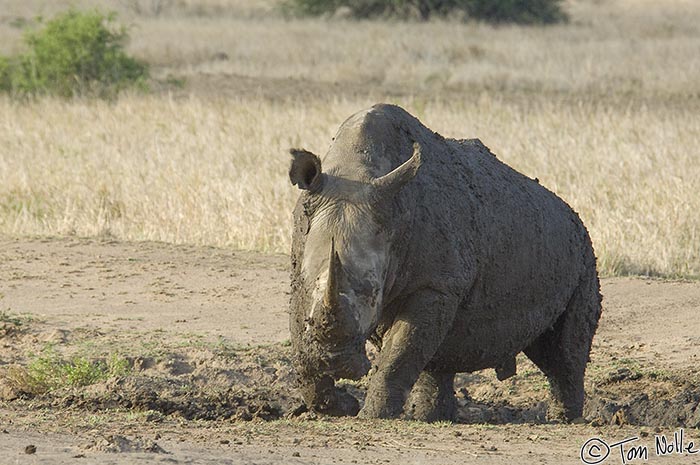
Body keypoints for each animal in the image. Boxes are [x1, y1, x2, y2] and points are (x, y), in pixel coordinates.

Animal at [288, 103, 600, 422]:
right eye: (307, 283)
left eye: (371, 293)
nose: (334, 362)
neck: (356, 170)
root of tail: (573, 215)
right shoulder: (301, 264)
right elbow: (301, 337)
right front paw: (339, 404)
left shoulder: (436, 285)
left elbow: (399, 353)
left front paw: (371, 416)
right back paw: (434, 417)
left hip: (582, 252)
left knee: (562, 355)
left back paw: (563, 419)